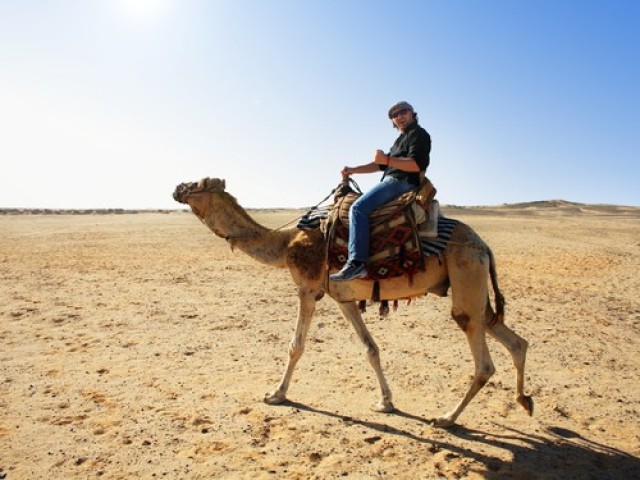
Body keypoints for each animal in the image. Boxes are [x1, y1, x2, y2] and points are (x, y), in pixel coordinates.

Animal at [172, 177, 533, 427]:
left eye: (199, 183)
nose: (177, 188)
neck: (285, 243)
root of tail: (483, 244)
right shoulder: (342, 298)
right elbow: (370, 348)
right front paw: (385, 402)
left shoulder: (307, 288)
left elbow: (295, 346)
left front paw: (276, 394)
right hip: (474, 287)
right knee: (514, 340)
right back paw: (524, 400)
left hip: (466, 273)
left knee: (481, 356)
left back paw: (446, 418)